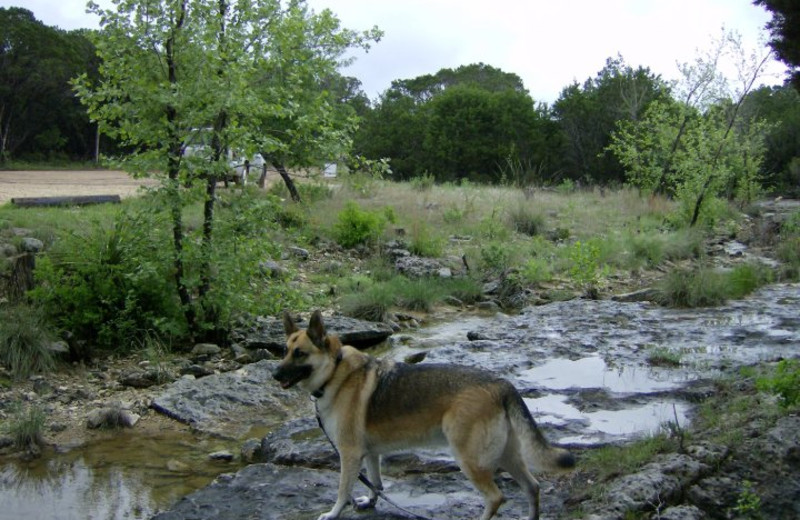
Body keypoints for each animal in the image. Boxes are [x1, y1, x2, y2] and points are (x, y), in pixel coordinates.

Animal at [276, 310, 576, 516]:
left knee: (496, 498)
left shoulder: (349, 454)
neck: (335, 372)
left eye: (300, 353)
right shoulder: (370, 453)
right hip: (507, 455)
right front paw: (371, 502)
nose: (274, 374)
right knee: (532, 487)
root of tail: (502, 384)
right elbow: (375, 483)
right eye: (284, 351)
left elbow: (343, 491)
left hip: (470, 459)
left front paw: (333, 514)